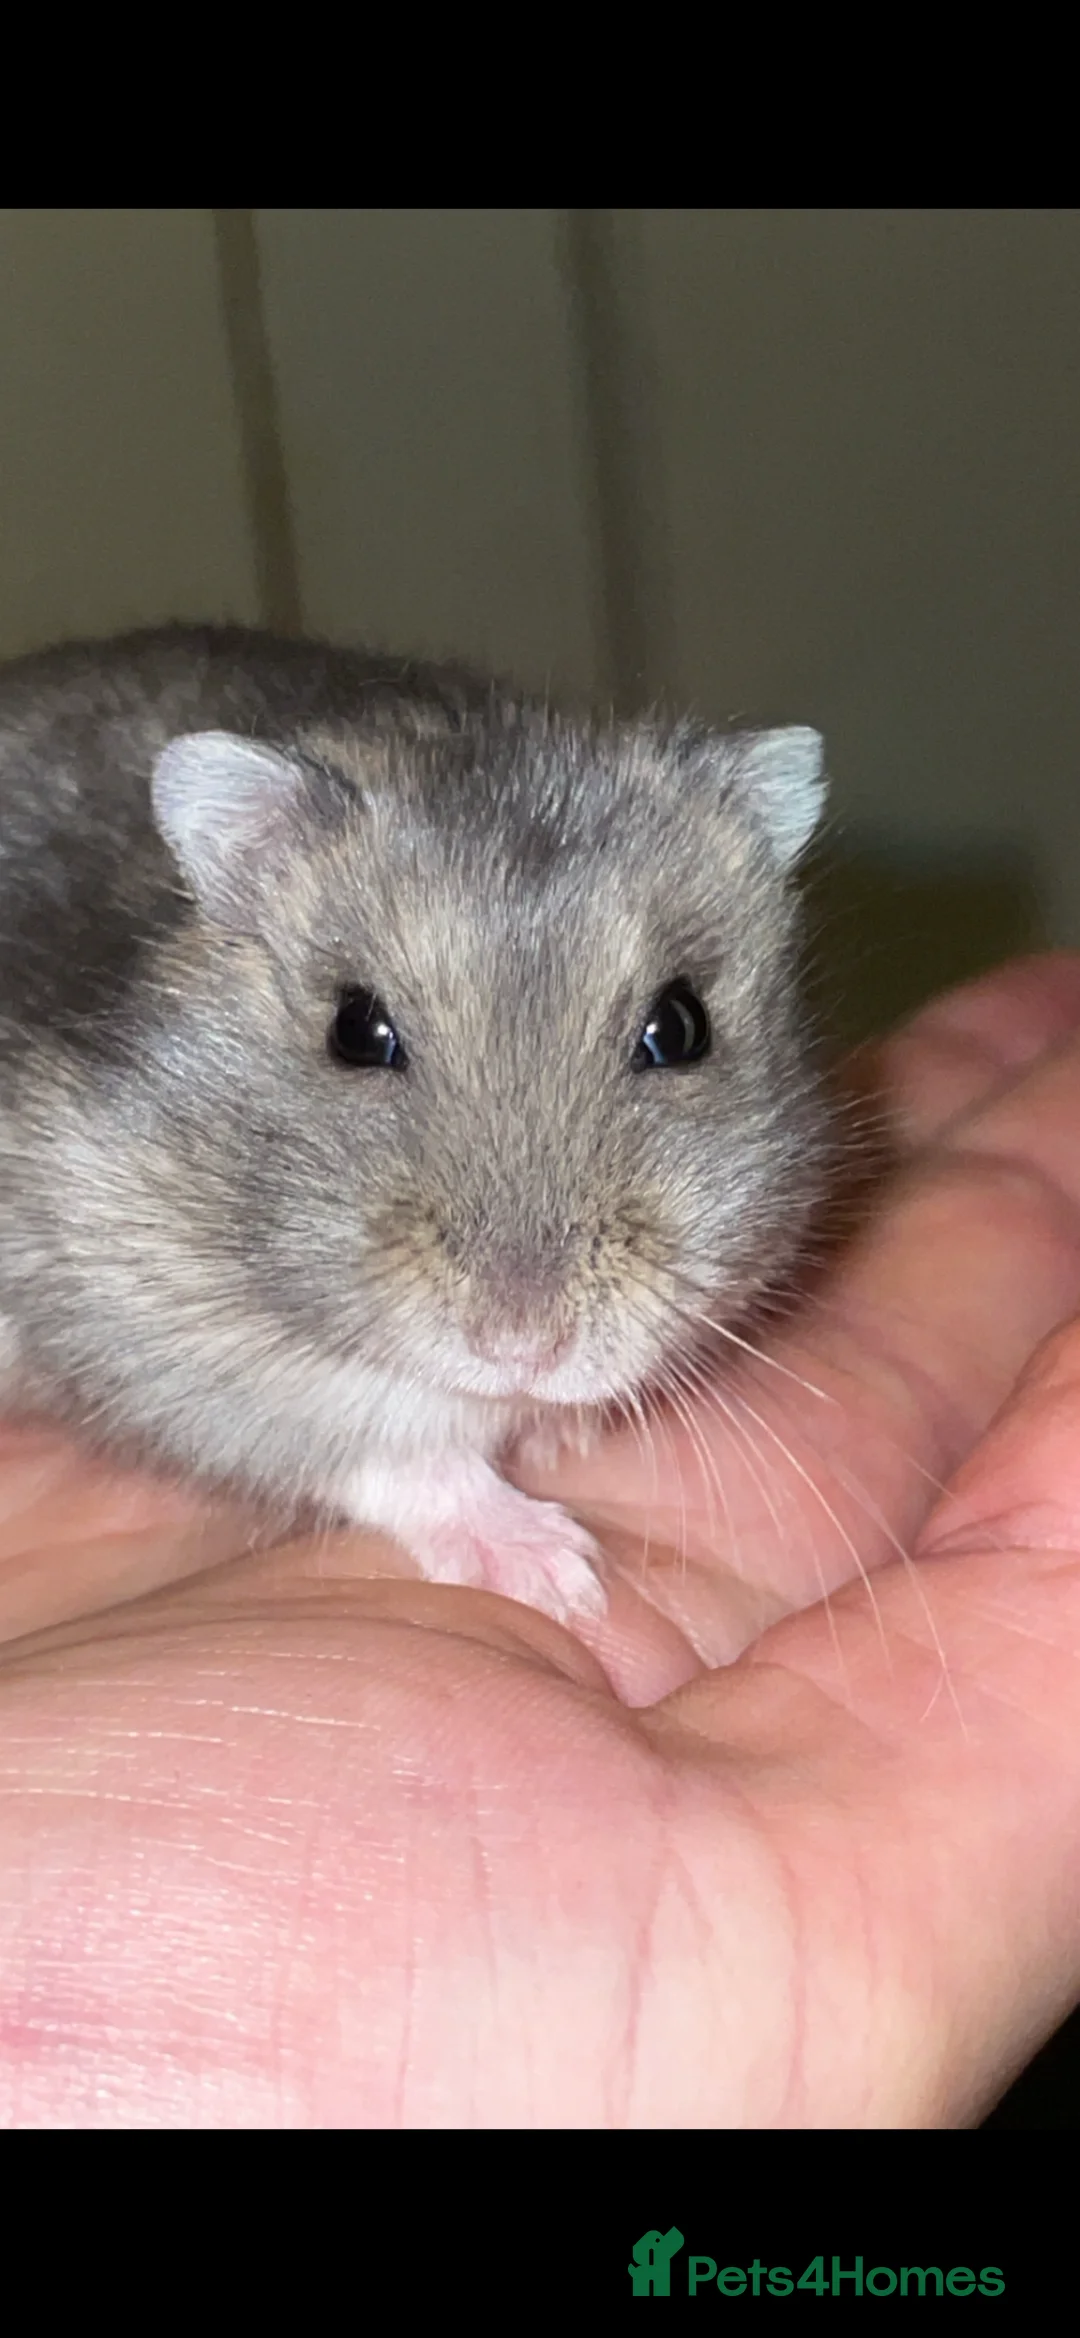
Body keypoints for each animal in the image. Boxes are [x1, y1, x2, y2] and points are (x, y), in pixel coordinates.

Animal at [0, 624, 828, 1621]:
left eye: (680, 1028)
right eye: (356, 1031)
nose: (524, 1349)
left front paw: (560, 1437)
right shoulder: (145, 1332)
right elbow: (394, 1455)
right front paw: (557, 1573)